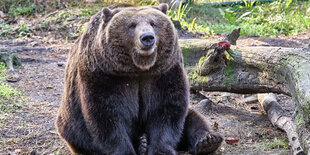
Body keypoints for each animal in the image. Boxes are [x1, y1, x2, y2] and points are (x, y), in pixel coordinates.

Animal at [55, 3, 220, 155]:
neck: (139, 68)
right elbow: (107, 114)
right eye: (132, 25)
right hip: (73, 126)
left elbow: (167, 109)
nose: (147, 38)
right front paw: (125, 150)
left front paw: (161, 150)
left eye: (153, 23)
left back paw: (208, 140)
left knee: (192, 118)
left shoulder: (164, 72)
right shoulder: (104, 74)